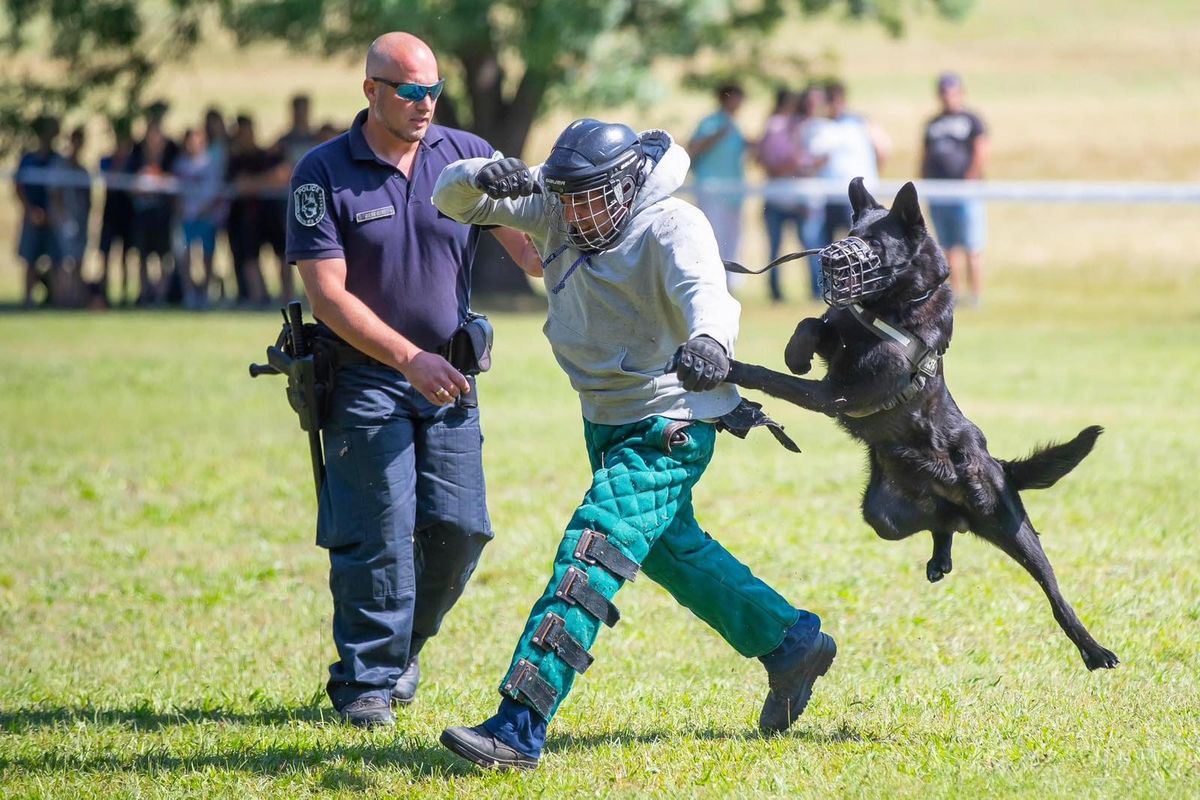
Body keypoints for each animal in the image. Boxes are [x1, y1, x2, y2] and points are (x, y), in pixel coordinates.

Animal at [724, 179, 1118, 671]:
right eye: (850, 233)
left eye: (875, 244)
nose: (830, 258)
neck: (890, 311)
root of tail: (998, 466)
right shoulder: (838, 344)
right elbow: (812, 322)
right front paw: (796, 352)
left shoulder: (832, 394)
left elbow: (774, 378)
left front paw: (730, 366)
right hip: (883, 517)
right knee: (942, 522)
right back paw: (941, 556)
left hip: (1012, 527)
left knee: (1054, 591)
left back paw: (1093, 648)